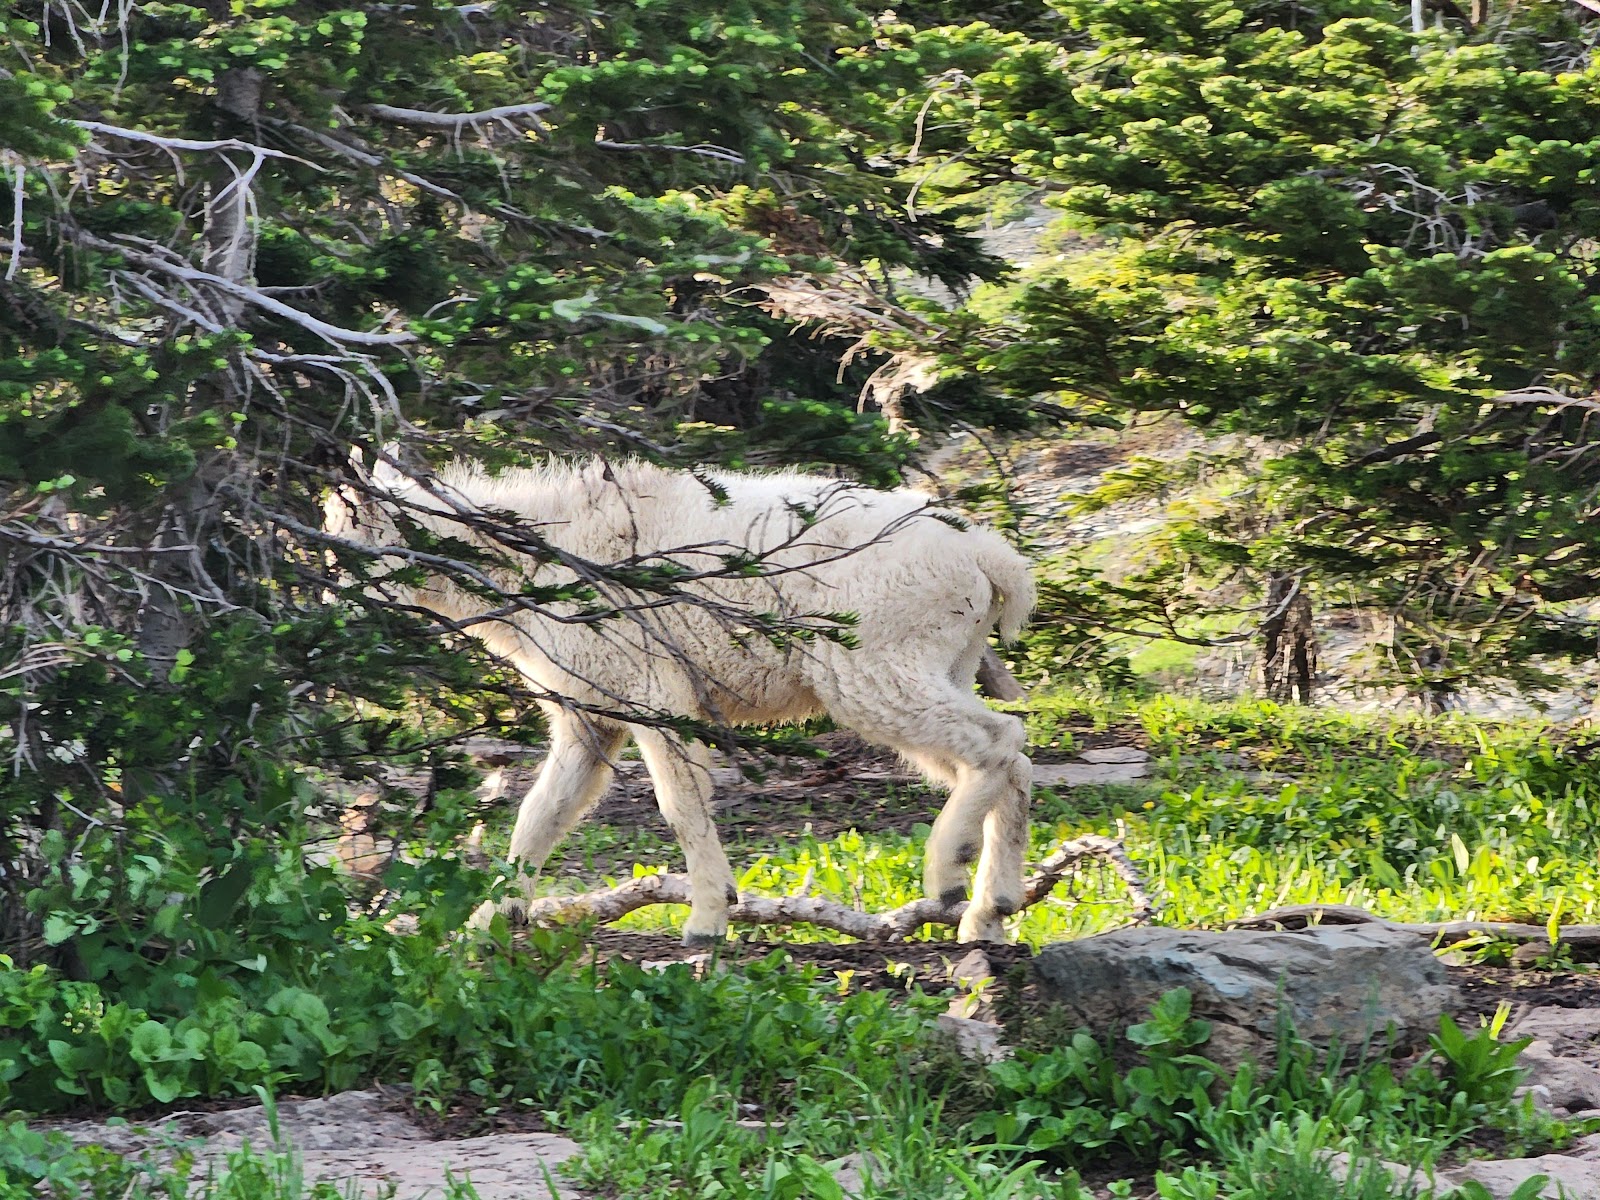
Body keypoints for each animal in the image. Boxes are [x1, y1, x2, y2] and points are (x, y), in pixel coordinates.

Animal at [324, 452, 1035, 944]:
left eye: (346, 553)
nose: (332, 620)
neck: (533, 567)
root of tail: (991, 559)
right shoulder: (590, 713)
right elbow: (542, 812)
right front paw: (492, 918)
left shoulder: (652, 691)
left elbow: (680, 805)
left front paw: (709, 916)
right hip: (940, 664)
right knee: (1011, 761)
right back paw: (990, 912)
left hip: (875, 668)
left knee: (1000, 742)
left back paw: (948, 873)